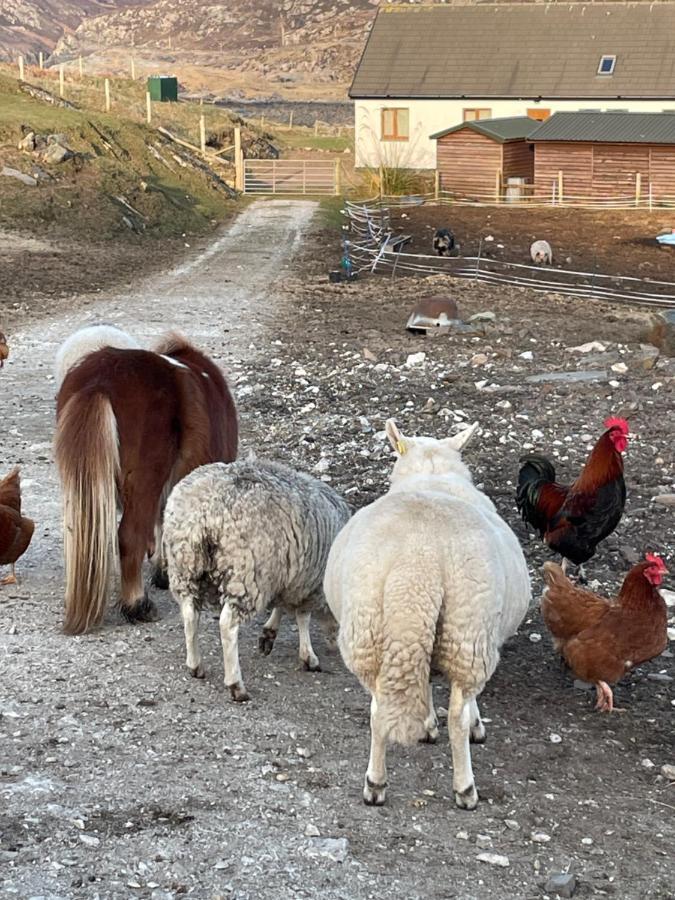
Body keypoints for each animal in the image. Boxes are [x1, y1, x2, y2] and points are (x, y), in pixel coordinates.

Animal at [166, 458, 352, 704]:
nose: (336, 646)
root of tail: (207, 512)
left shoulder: (286, 574)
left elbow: (283, 607)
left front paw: (269, 632)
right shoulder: (306, 583)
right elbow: (302, 617)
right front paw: (308, 657)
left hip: (185, 567)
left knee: (189, 614)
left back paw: (195, 665)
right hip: (246, 575)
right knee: (227, 625)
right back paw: (236, 685)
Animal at [324, 420, 532, 808]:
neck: (432, 475)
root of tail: (418, 561)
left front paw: (426, 725)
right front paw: (473, 726)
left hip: (369, 628)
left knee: (379, 710)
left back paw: (375, 783)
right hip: (469, 630)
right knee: (457, 716)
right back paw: (465, 787)